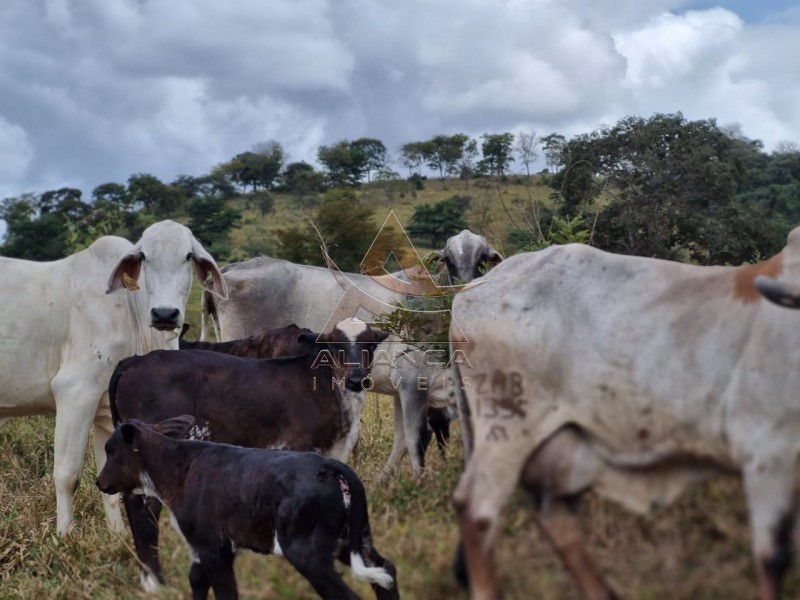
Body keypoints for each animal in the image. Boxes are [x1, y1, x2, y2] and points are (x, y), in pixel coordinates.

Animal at [0, 220, 228, 536]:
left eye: (188, 256)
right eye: (144, 257)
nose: (165, 314)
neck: (131, 313)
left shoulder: (106, 412)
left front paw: (118, 537)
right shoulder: (75, 393)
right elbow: (67, 475)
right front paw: (64, 537)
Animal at [98, 418, 398, 600]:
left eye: (111, 451)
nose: (99, 482)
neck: (178, 467)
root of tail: (329, 465)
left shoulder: (213, 549)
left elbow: (224, 592)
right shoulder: (206, 548)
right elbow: (197, 581)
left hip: (307, 551)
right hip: (351, 538)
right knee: (386, 571)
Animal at [454, 229, 800, 600]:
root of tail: (475, 287)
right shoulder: (765, 449)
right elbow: (774, 557)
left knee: (554, 517)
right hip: (507, 428)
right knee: (477, 509)